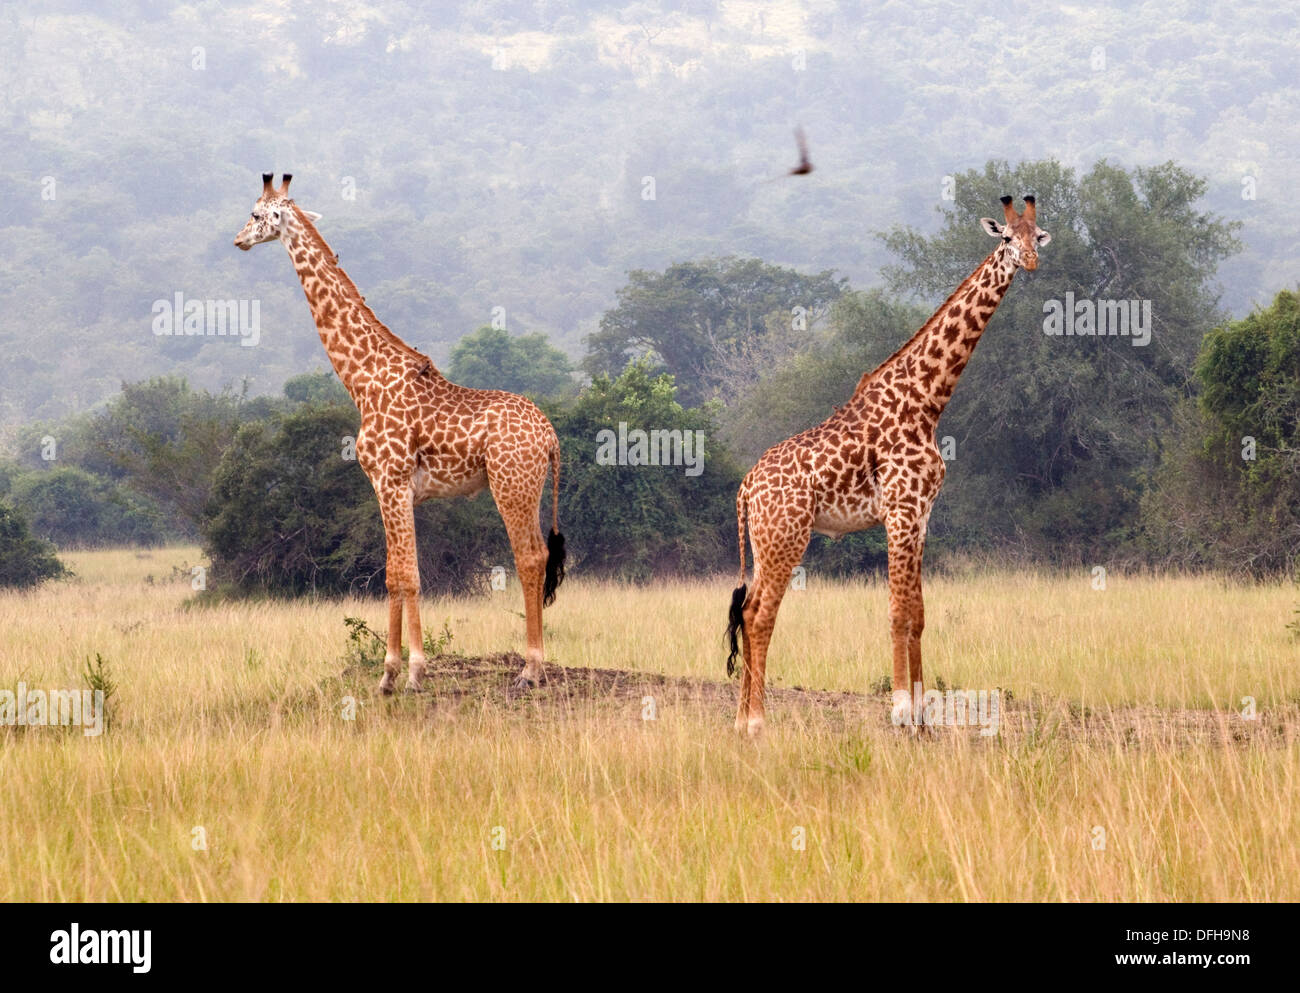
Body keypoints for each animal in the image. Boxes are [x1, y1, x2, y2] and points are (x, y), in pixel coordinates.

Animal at [234, 173, 565, 694]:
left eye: (254, 214)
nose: (238, 240)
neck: (362, 379)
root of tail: (551, 437)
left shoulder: (390, 480)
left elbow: (406, 574)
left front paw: (412, 672)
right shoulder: (388, 486)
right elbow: (392, 572)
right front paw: (388, 676)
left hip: (511, 485)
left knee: (530, 558)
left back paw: (530, 669)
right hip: (525, 488)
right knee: (538, 556)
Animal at [725, 196, 1050, 736]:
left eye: (1037, 235)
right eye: (1005, 238)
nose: (1029, 261)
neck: (927, 401)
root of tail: (746, 487)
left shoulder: (920, 515)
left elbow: (918, 612)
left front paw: (922, 714)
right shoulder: (899, 510)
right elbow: (898, 611)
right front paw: (899, 709)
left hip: (764, 540)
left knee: (746, 611)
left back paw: (737, 719)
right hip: (786, 537)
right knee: (758, 614)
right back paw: (756, 722)